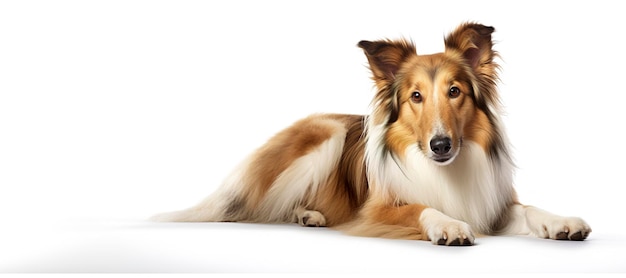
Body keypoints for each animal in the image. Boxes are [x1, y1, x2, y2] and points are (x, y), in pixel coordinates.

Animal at [152, 22, 588, 247]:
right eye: (415, 96)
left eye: (455, 91)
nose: (441, 145)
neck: (444, 170)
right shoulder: (376, 209)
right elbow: (420, 207)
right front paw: (448, 226)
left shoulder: (492, 203)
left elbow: (530, 209)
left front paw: (561, 221)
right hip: (325, 135)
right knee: (269, 204)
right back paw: (308, 214)